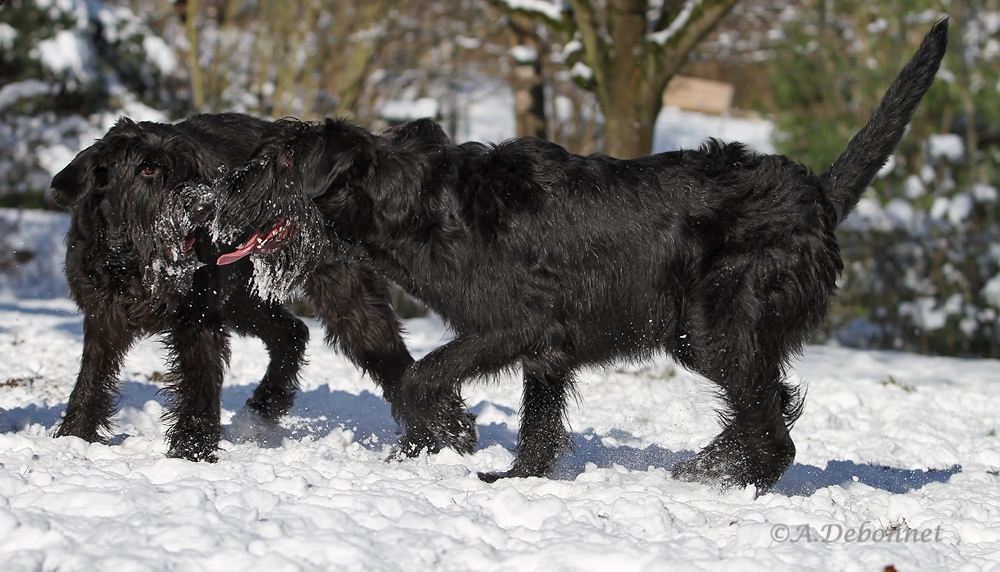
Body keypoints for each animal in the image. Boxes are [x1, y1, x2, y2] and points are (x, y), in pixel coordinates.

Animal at [49, 114, 410, 462]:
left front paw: (192, 449)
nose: (203, 208)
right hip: (243, 301)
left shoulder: (199, 320)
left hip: (347, 299)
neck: (133, 263)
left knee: (394, 362)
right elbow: (93, 376)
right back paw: (264, 407)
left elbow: (199, 385)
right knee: (292, 333)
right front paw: (75, 435)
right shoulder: (103, 317)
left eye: (192, 169)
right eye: (147, 168)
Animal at [209, 20, 944, 490]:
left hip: (716, 329)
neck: (418, 203)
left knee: (774, 425)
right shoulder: (547, 350)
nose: (218, 192)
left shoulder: (511, 327)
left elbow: (420, 376)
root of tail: (817, 196)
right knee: (768, 402)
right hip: (709, 336)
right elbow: (536, 427)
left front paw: (431, 439)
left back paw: (720, 477)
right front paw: (511, 479)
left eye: (276, 163)